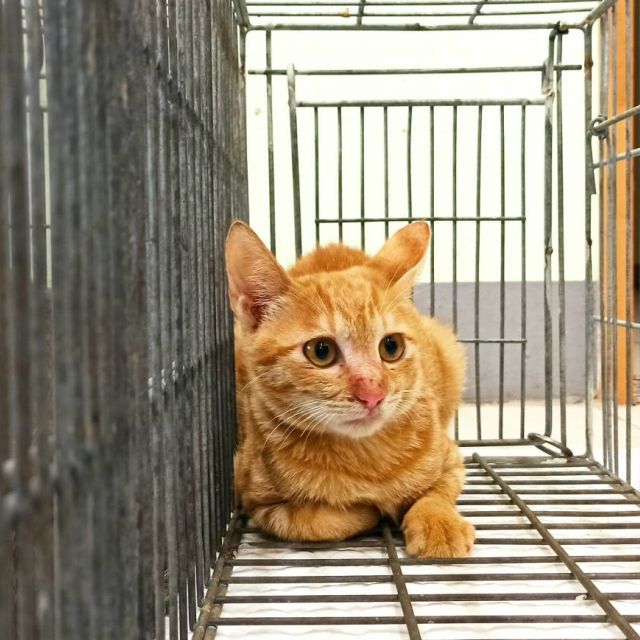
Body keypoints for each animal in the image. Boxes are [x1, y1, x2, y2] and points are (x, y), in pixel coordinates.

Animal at [225, 220, 475, 557]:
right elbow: (321, 521)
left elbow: (436, 492)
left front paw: (439, 524)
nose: (373, 393)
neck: (368, 460)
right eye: (321, 351)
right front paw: (370, 509)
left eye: (391, 347)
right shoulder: (253, 499)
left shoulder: (452, 461)